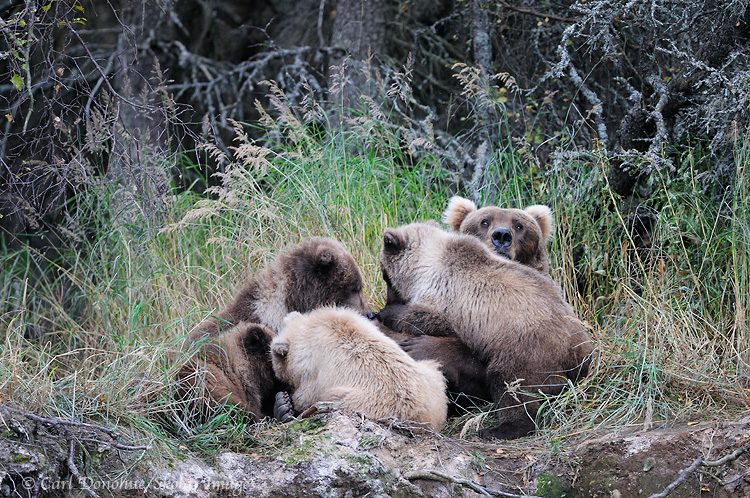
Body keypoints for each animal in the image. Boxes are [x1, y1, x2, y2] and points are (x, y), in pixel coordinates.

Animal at [270, 306, 448, 432]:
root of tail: (426, 417)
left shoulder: (315, 373)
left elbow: (305, 396)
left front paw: (288, 403)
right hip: (431, 375)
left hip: (359, 401)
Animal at [377, 222, 592, 439]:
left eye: (385, 275)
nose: (387, 300)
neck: (429, 264)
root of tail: (579, 349)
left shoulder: (449, 299)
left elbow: (427, 318)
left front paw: (389, 314)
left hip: (528, 347)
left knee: (513, 386)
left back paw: (498, 428)